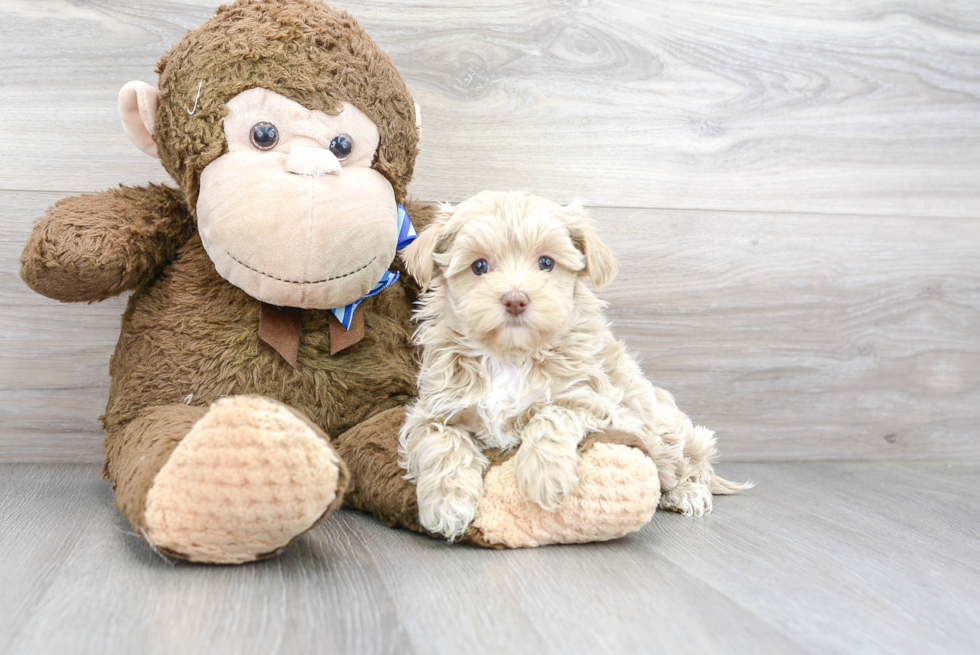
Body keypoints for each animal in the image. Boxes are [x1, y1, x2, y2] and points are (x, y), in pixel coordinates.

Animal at [398, 192, 752, 540]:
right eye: (479, 266)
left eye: (546, 262)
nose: (515, 299)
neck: (511, 357)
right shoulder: (434, 410)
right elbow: (442, 442)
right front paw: (447, 504)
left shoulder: (599, 404)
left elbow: (553, 412)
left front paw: (545, 474)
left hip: (663, 431)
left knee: (687, 465)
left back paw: (688, 492)